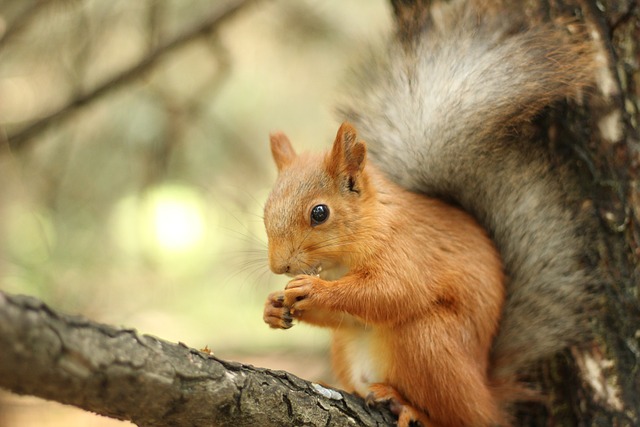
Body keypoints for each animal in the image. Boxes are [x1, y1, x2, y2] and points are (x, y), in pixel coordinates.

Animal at [258, 1, 596, 426]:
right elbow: (349, 316)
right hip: (353, 349)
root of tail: (487, 395)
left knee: (456, 415)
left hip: (429, 342)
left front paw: (317, 290)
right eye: (265, 209)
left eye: (320, 213)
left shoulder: (408, 251)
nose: (280, 267)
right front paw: (274, 307)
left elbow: (390, 293)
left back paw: (409, 405)